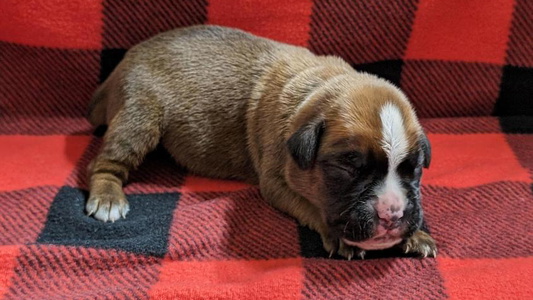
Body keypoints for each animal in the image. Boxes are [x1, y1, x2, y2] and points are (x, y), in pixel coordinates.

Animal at [88, 25, 436, 258]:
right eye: (349, 167)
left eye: (414, 168)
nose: (392, 215)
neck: (321, 86)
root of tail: (121, 65)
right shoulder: (276, 183)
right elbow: (310, 205)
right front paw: (339, 238)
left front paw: (416, 234)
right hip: (141, 115)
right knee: (105, 163)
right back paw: (108, 199)